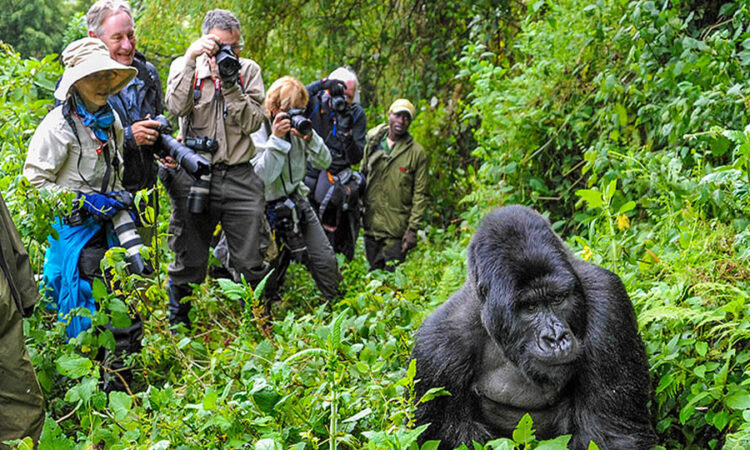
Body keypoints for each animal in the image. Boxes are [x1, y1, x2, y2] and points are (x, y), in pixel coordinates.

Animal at [412, 206, 656, 448]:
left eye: (557, 299)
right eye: (529, 307)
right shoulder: (436, 352)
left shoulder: (608, 301)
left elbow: (609, 433)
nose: (556, 338)